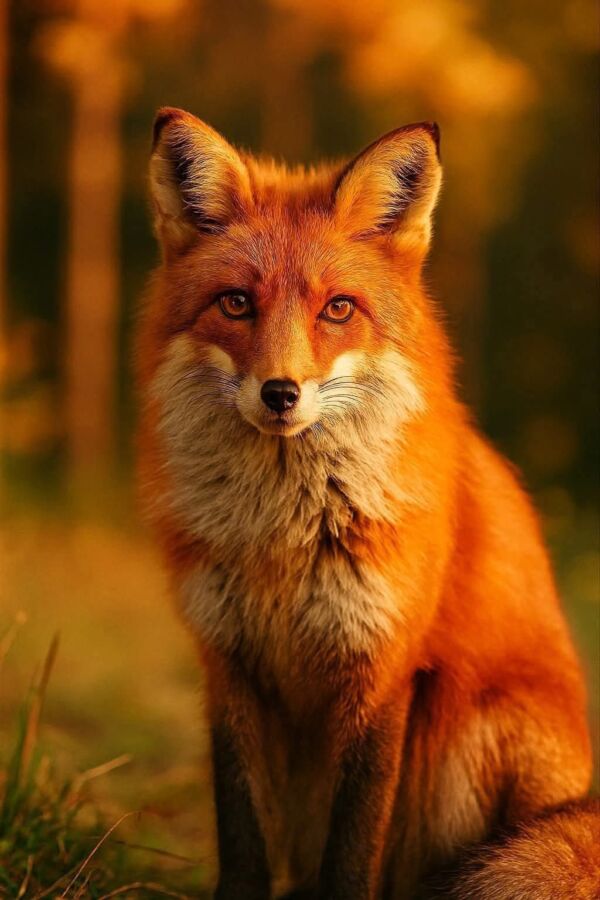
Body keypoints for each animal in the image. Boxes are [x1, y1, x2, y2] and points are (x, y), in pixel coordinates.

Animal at [136, 106, 596, 900]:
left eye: (338, 309)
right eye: (236, 303)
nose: (280, 392)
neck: (283, 538)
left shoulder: (381, 669)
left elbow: (353, 844)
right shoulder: (229, 663)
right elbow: (241, 834)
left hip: (483, 726)